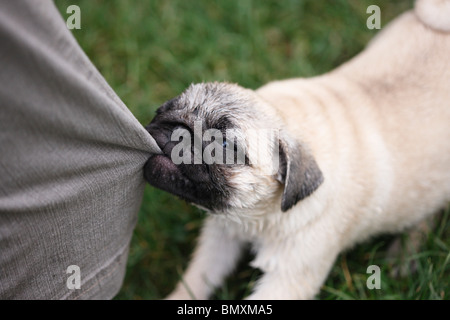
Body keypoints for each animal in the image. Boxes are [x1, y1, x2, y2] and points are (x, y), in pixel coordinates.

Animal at [143, 0, 450, 300]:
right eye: (165, 109)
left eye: (224, 145)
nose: (177, 129)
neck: (259, 218)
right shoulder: (220, 238)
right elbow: (195, 281)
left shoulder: (288, 277)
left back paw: (405, 255)